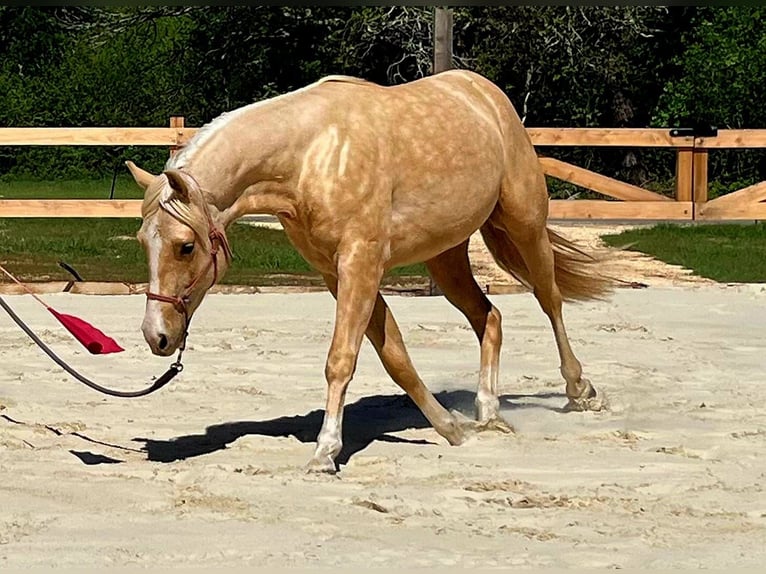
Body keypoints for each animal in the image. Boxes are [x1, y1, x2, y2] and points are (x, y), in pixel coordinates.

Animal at [127, 69, 610, 473]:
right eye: (143, 242)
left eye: (186, 246)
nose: (157, 336)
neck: (310, 157)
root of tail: (485, 94)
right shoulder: (337, 272)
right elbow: (395, 355)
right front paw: (450, 429)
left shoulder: (360, 262)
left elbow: (341, 359)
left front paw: (325, 452)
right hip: (446, 256)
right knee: (488, 317)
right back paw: (488, 412)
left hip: (525, 225)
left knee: (549, 299)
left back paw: (579, 390)